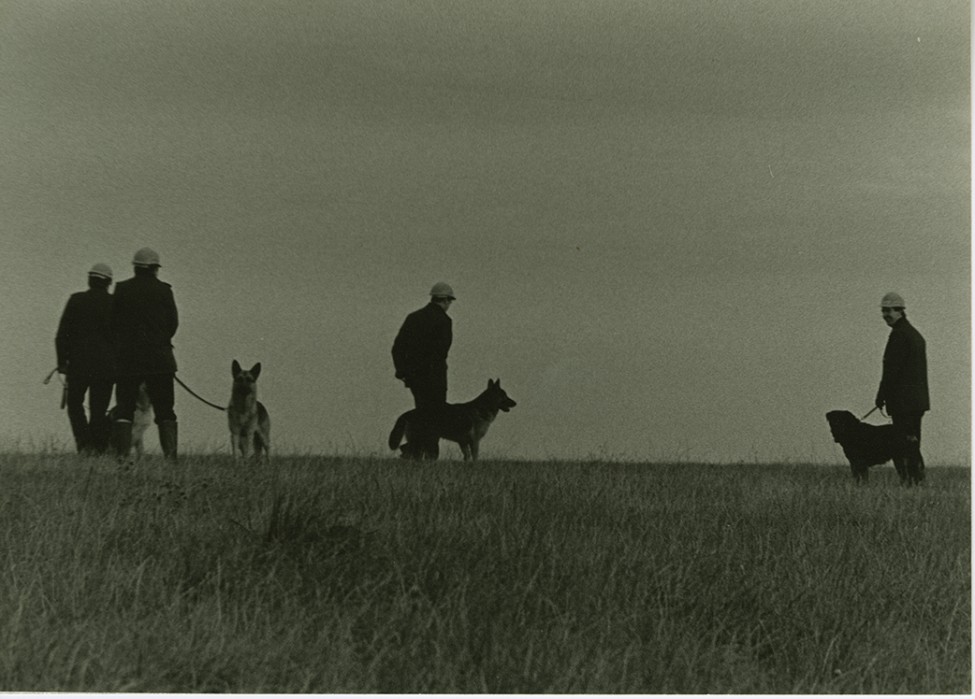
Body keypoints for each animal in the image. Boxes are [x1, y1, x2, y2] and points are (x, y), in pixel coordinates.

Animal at [388, 380, 520, 462]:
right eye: (504, 395)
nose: (515, 403)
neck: (482, 408)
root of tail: (408, 412)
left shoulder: (463, 443)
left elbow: (466, 457)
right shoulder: (474, 441)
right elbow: (475, 457)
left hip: (422, 440)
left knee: (405, 450)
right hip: (421, 439)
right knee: (407, 450)